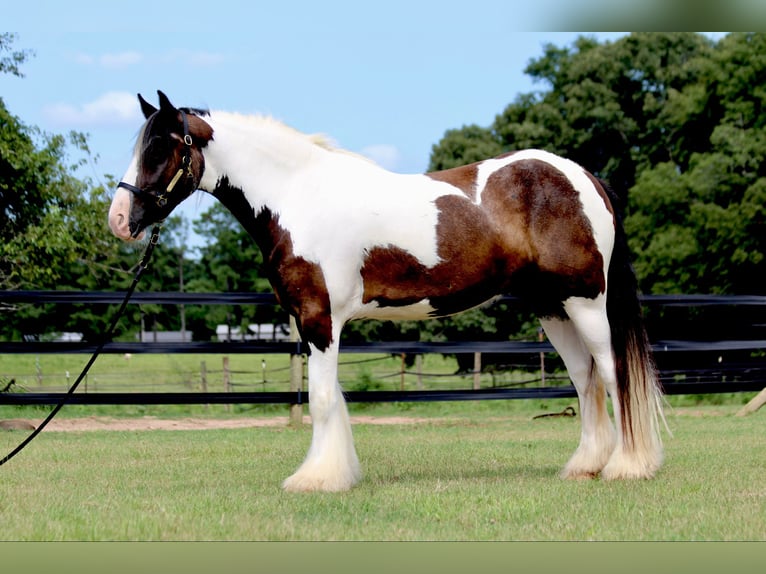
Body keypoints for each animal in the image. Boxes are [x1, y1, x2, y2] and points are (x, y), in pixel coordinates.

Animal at [108, 91, 665, 492]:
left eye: (160, 147)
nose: (118, 219)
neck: (299, 196)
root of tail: (584, 177)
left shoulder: (321, 319)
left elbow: (323, 400)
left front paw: (316, 480)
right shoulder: (314, 324)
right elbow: (332, 397)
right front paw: (336, 472)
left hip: (585, 303)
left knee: (613, 375)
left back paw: (627, 467)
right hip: (554, 308)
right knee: (585, 381)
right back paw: (584, 467)